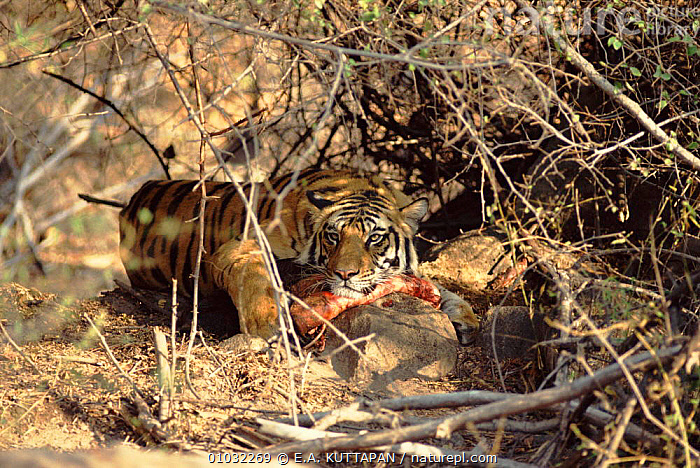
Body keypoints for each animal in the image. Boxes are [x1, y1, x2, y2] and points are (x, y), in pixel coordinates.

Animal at [119, 169, 479, 341]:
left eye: (374, 238)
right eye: (333, 236)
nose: (345, 274)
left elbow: (439, 287)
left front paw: (465, 318)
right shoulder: (240, 245)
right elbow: (253, 277)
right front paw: (265, 325)